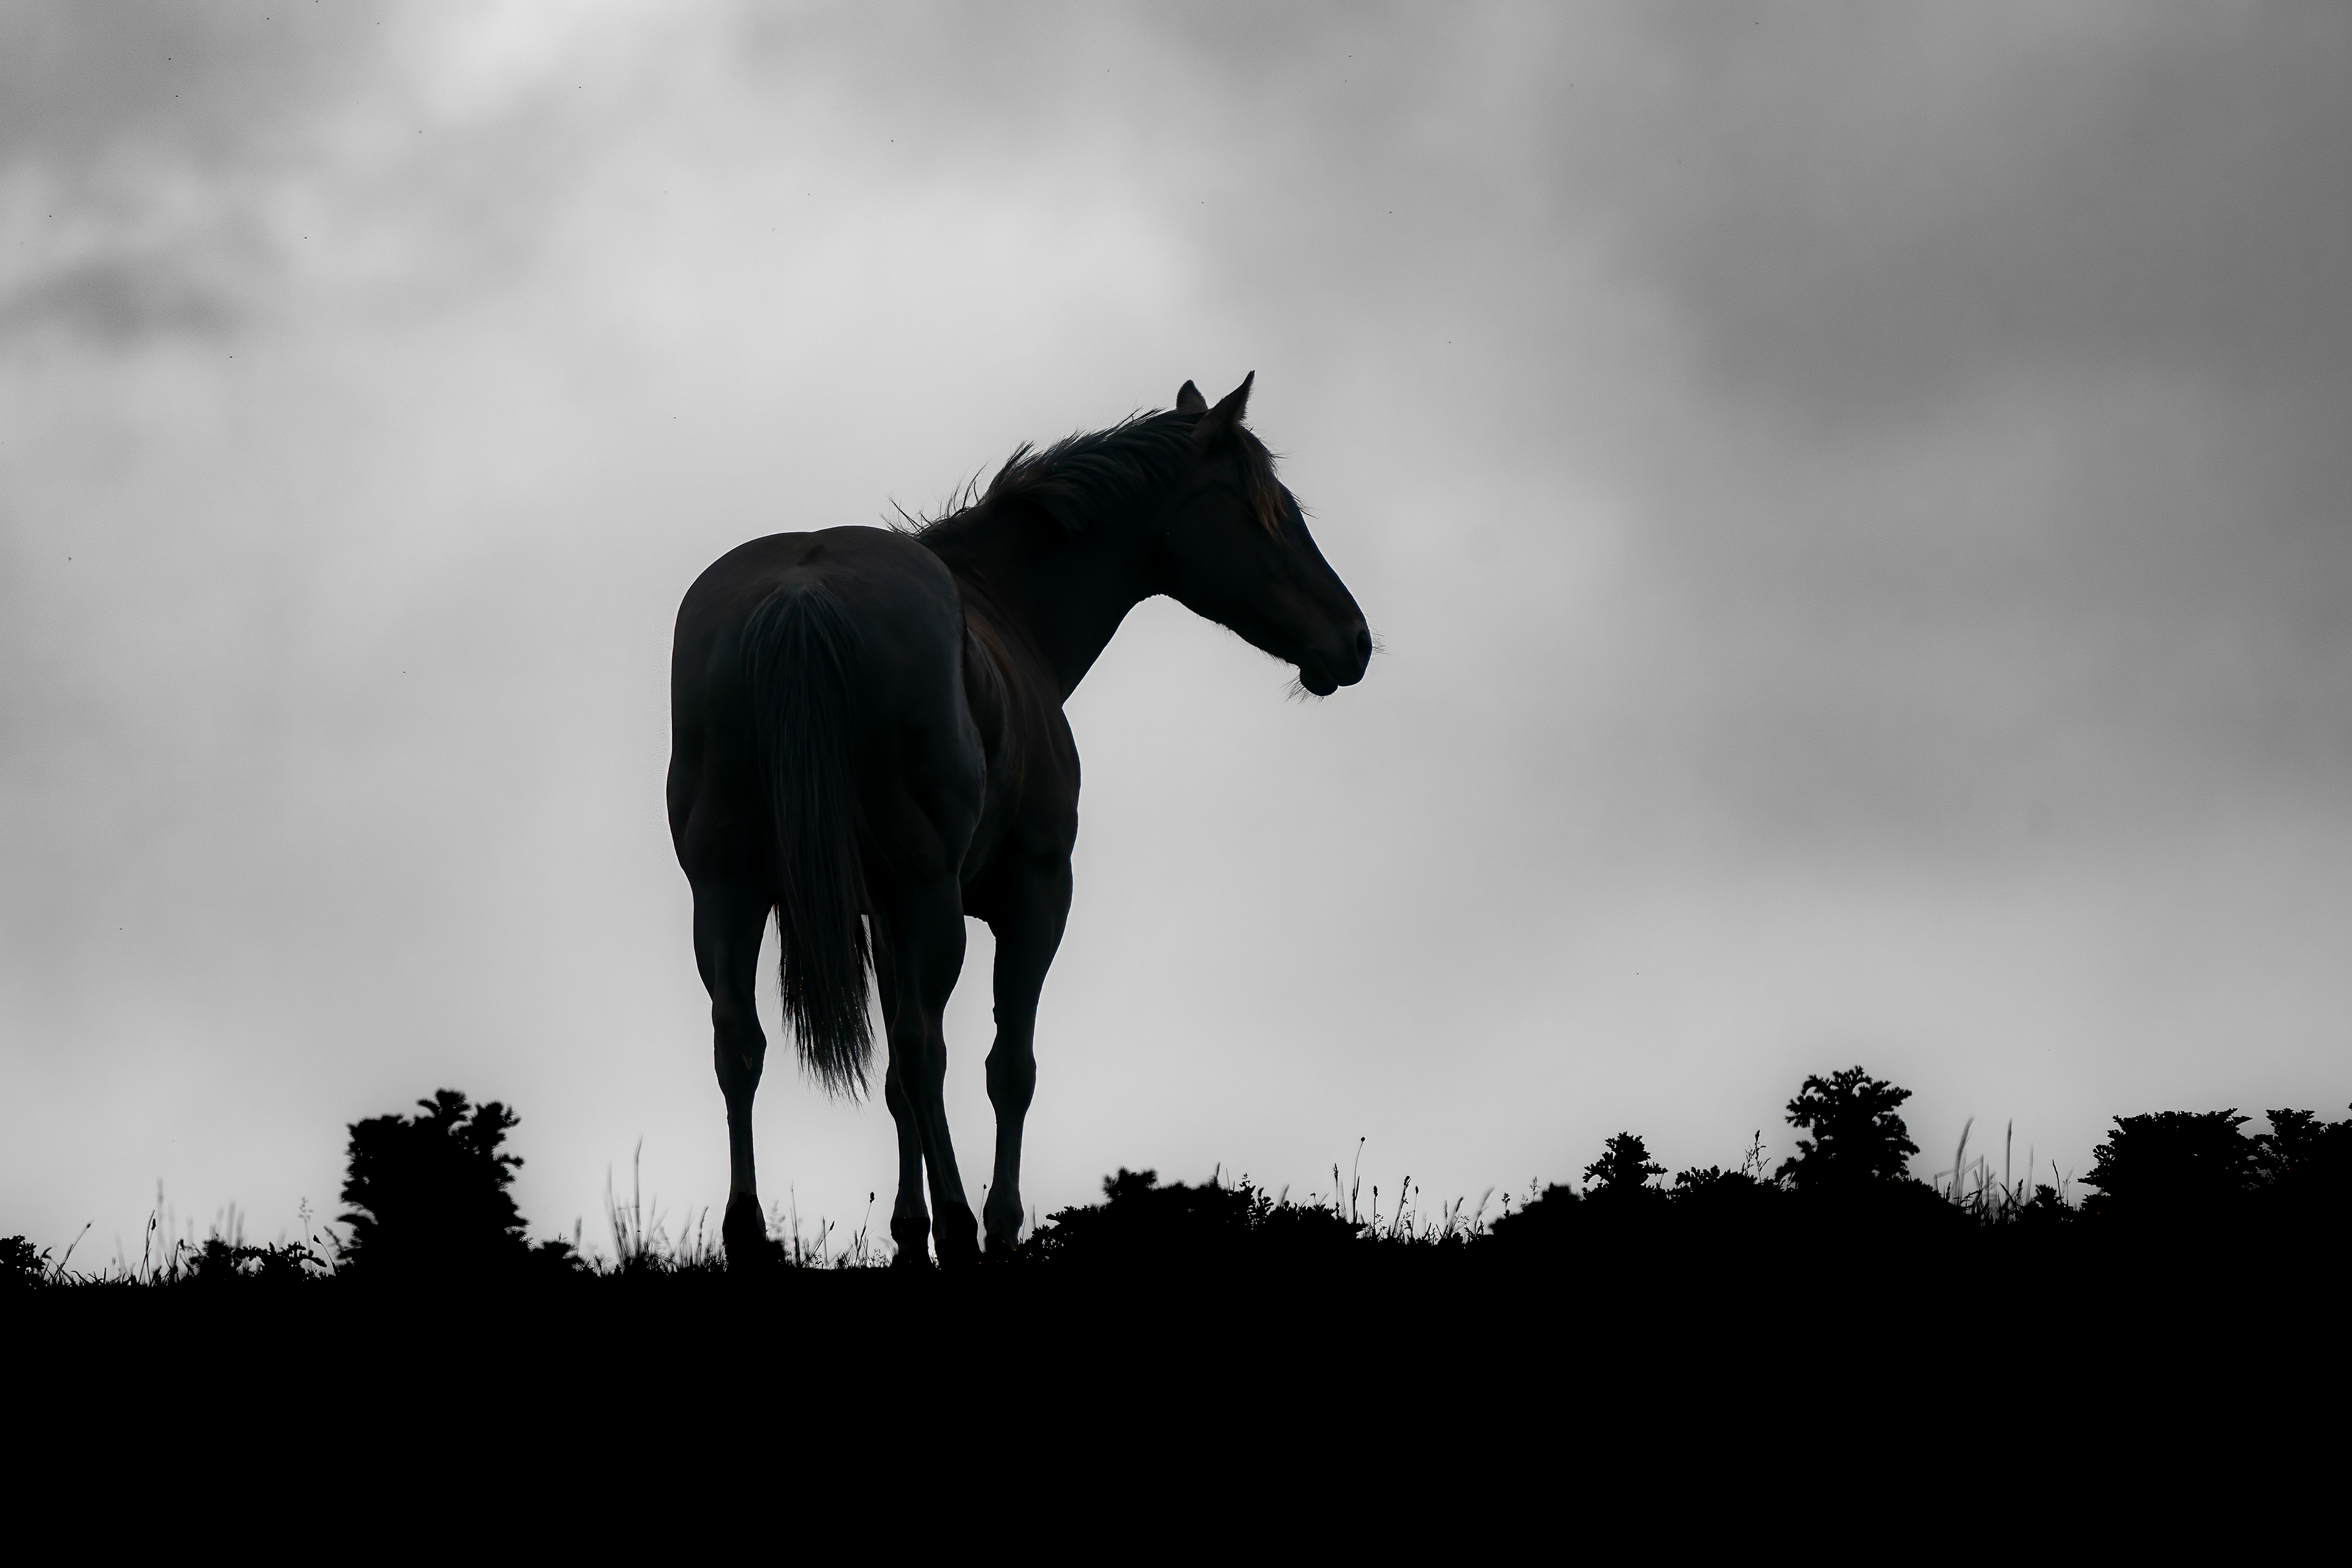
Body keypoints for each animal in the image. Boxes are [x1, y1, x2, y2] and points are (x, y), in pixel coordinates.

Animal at [666, 374, 1372, 1265]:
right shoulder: (1033, 898)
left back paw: (751, 1235)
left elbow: (893, 1081)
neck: (1002, 608)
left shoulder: (882, 916)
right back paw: (962, 1227)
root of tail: (801, 594)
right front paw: (993, 1226)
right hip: (927, 896)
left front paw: (908, 1233)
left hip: (727, 891)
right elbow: (1009, 1068)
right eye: (1266, 510)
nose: (1354, 640)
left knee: (742, 1044)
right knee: (927, 1050)